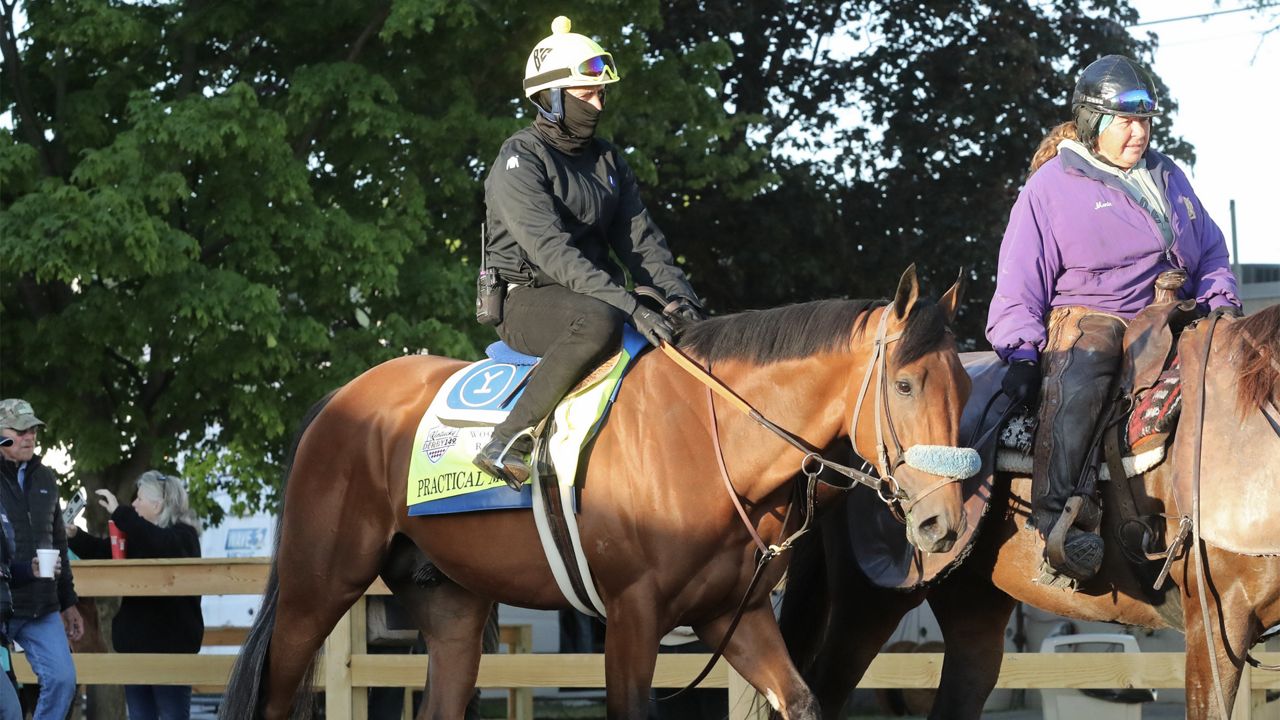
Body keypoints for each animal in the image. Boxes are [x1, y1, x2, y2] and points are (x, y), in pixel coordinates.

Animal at [220, 267, 972, 717]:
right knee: (276, 696)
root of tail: (339, 398)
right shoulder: (633, 618)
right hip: (318, 588)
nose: (943, 523)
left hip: (451, 606)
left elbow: (799, 699)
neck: (707, 438)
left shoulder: (736, 615)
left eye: (965, 385)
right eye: (905, 384)